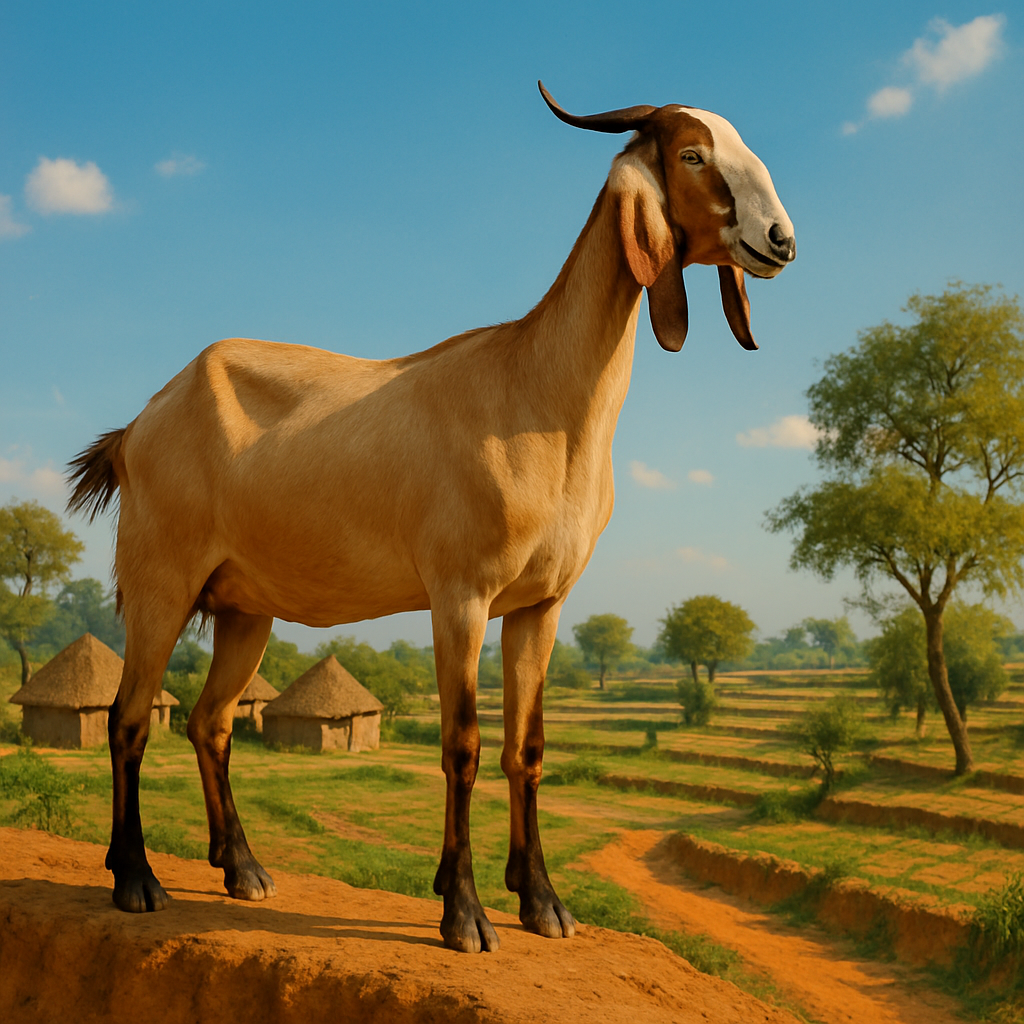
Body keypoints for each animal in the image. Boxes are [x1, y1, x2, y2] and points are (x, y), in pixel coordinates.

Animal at [67, 83, 795, 953]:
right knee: (127, 719)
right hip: (161, 576)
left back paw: (240, 867)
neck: (536, 396)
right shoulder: (460, 595)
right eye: (691, 154)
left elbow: (527, 748)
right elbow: (464, 745)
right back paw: (135, 877)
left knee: (210, 721)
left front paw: (541, 900)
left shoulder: (541, 606)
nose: (781, 239)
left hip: (245, 606)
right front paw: (466, 913)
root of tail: (139, 425)